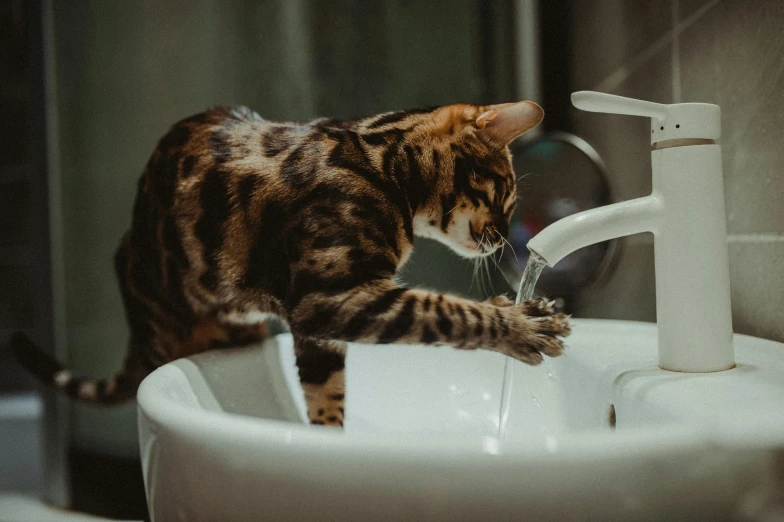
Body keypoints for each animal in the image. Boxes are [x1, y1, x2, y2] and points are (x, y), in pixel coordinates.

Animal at [12, 99, 568, 424]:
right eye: (507, 193)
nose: (506, 240)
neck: (382, 165)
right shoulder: (331, 298)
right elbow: (446, 311)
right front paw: (522, 325)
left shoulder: (317, 330)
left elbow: (326, 399)